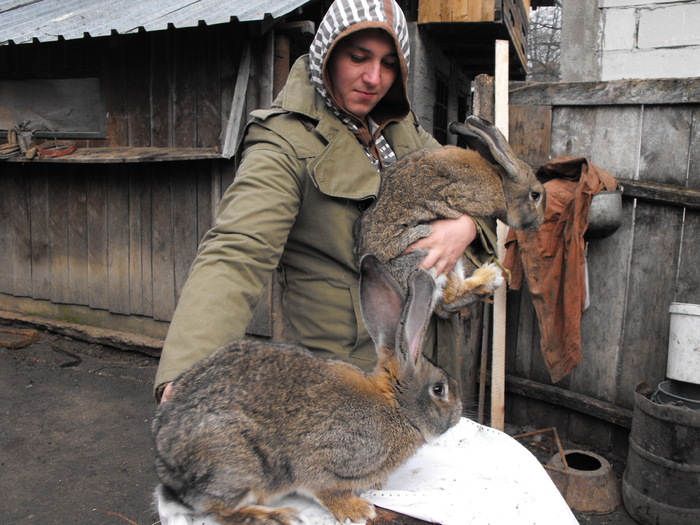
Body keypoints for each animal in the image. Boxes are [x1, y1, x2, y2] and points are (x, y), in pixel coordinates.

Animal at [150, 253, 462, 520]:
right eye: (439, 390)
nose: (459, 413)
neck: (396, 407)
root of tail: (168, 467)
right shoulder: (326, 457)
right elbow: (325, 488)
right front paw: (357, 510)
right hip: (242, 466)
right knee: (221, 511)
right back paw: (274, 516)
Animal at [356, 114, 548, 316]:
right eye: (535, 195)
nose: (538, 224)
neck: (502, 183)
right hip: (434, 261)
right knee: (448, 300)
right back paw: (489, 278)